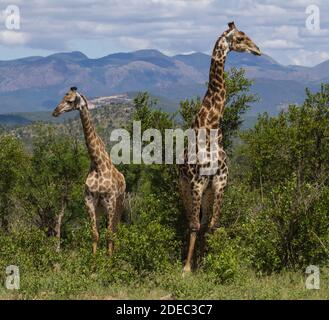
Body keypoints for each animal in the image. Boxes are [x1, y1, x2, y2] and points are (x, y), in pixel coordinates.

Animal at [52, 87, 125, 255]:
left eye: (70, 101)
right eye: (62, 97)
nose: (55, 112)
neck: (97, 165)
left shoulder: (110, 202)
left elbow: (109, 234)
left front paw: (109, 261)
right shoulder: (89, 202)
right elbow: (95, 234)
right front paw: (94, 261)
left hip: (119, 205)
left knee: (115, 231)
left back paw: (115, 255)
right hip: (100, 209)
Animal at [178, 21, 260, 272]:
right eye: (241, 38)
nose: (258, 50)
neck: (211, 124)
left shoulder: (220, 183)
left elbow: (212, 225)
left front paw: (207, 264)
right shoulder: (196, 183)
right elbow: (195, 225)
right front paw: (187, 269)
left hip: (206, 191)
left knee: (203, 221)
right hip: (184, 187)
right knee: (190, 220)